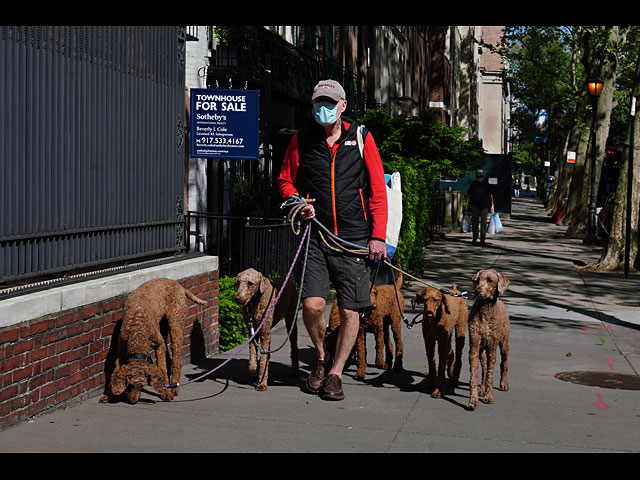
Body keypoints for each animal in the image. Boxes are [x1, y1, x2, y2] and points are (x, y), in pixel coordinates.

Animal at [464, 268, 510, 410]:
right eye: (478, 279)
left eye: (490, 280)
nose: (477, 291)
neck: (485, 309)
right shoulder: (474, 346)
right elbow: (474, 375)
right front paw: (473, 400)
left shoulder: (492, 348)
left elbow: (491, 373)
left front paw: (489, 397)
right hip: (481, 351)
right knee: (484, 369)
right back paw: (482, 389)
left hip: (504, 343)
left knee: (504, 364)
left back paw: (503, 384)